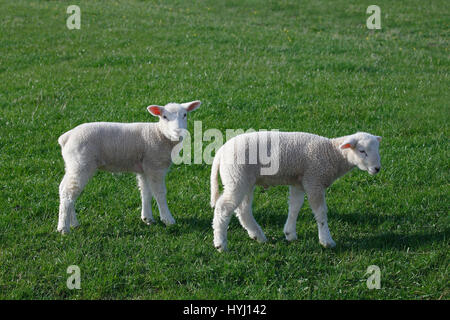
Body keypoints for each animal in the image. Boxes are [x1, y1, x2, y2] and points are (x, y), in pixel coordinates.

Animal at [57, 99, 201, 234]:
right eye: (164, 116)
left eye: (185, 115)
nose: (179, 132)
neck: (159, 134)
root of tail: (66, 137)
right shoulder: (155, 166)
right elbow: (159, 193)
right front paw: (168, 219)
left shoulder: (145, 168)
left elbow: (145, 192)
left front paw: (147, 218)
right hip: (81, 163)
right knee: (69, 193)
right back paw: (63, 228)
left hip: (72, 165)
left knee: (64, 188)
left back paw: (73, 223)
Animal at [210, 130, 380, 250]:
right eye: (362, 151)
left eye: (378, 150)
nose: (377, 168)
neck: (332, 153)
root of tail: (220, 152)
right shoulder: (314, 180)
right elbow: (320, 212)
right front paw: (326, 241)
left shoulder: (299, 183)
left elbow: (295, 207)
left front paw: (289, 233)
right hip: (236, 178)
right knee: (223, 208)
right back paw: (220, 244)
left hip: (244, 180)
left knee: (243, 210)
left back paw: (258, 236)